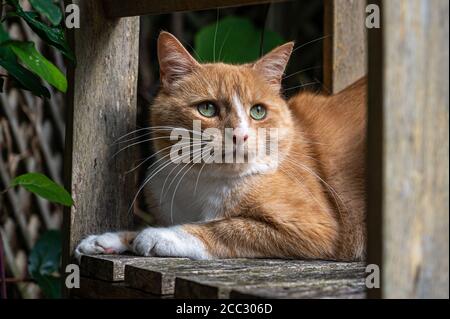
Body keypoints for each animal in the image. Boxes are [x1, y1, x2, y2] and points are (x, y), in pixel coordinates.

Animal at [75, 31, 368, 262]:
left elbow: (226, 227)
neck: (202, 182)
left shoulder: (316, 227)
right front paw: (109, 239)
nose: (240, 135)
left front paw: (160, 235)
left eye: (258, 111)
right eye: (207, 108)